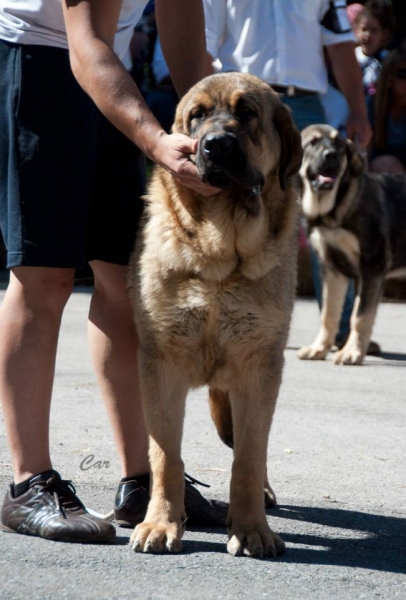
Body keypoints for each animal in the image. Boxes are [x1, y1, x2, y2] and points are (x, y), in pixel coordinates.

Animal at [128, 74, 302, 556]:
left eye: (247, 113)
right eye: (198, 115)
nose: (217, 145)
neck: (220, 257)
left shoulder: (258, 371)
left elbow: (250, 457)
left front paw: (251, 529)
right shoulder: (159, 367)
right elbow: (165, 455)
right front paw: (161, 523)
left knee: (250, 448)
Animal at [298, 124, 406, 364]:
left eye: (339, 144)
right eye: (312, 143)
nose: (331, 155)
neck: (332, 211)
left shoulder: (372, 267)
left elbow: (360, 316)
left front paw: (352, 352)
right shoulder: (332, 268)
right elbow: (329, 314)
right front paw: (319, 349)